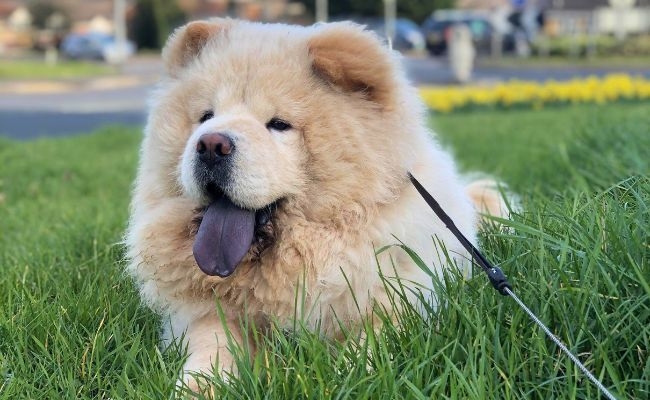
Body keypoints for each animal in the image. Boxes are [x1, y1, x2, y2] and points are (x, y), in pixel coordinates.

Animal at [124, 18, 504, 388]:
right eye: (205, 116)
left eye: (279, 124)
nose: (211, 145)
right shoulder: (210, 314)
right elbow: (211, 351)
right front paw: (197, 387)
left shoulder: (400, 302)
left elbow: (368, 347)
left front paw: (345, 378)